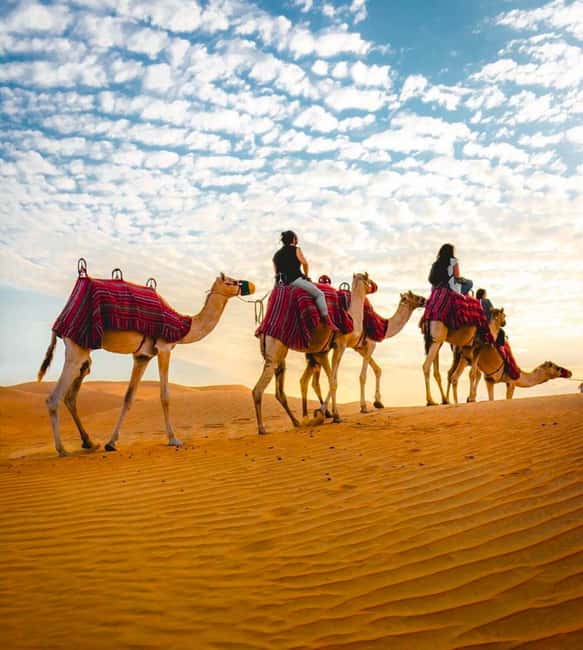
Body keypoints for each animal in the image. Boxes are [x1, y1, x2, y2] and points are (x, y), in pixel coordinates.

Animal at [38, 274, 253, 456]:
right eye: (231, 281)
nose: (248, 286)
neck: (183, 326)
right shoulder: (164, 347)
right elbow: (165, 396)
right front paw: (174, 440)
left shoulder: (142, 356)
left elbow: (128, 397)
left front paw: (111, 443)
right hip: (78, 347)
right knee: (54, 398)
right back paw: (62, 450)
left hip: (83, 350)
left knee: (71, 396)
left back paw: (90, 443)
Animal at [252, 273, 371, 435]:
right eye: (368, 280)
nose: (374, 286)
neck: (351, 316)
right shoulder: (339, 345)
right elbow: (333, 381)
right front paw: (333, 415)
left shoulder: (321, 352)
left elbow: (330, 380)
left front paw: (326, 413)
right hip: (275, 349)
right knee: (258, 390)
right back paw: (262, 428)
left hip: (280, 354)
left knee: (280, 391)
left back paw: (296, 422)